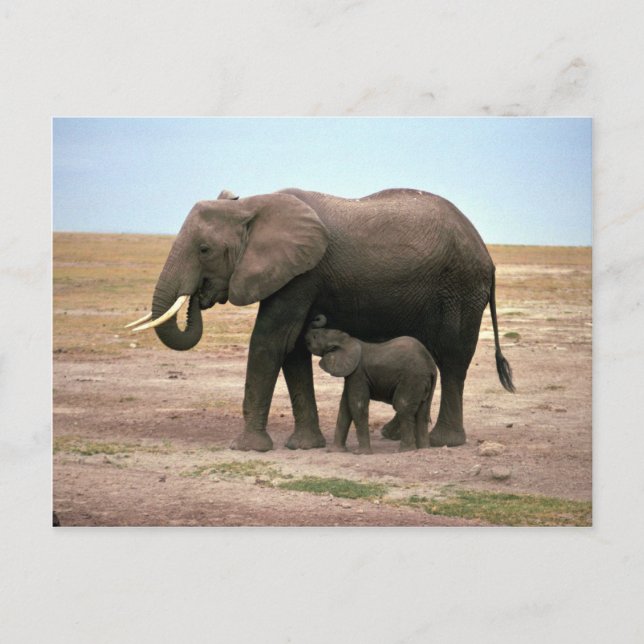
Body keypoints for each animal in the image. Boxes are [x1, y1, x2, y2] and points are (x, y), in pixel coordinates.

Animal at [304, 317, 438, 454]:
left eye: (315, 336)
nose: (317, 317)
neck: (348, 341)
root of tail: (431, 366)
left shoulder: (358, 373)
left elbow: (357, 406)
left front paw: (361, 453)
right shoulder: (351, 374)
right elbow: (344, 407)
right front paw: (335, 451)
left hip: (412, 378)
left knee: (403, 407)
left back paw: (405, 451)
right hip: (423, 382)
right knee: (423, 413)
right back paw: (424, 448)